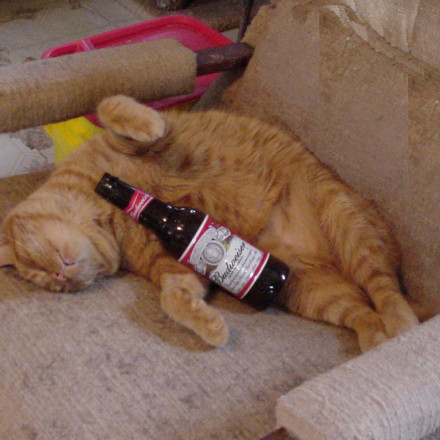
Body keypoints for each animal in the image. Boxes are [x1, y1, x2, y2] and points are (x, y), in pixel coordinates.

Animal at [0, 95, 419, 352]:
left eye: (37, 265)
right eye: (50, 283)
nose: (61, 277)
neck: (112, 213)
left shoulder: (142, 143)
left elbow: (112, 107)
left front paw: (144, 123)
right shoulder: (178, 262)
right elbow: (174, 297)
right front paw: (210, 326)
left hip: (348, 226)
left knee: (386, 290)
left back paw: (401, 326)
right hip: (311, 292)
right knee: (362, 311)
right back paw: (377, 340)